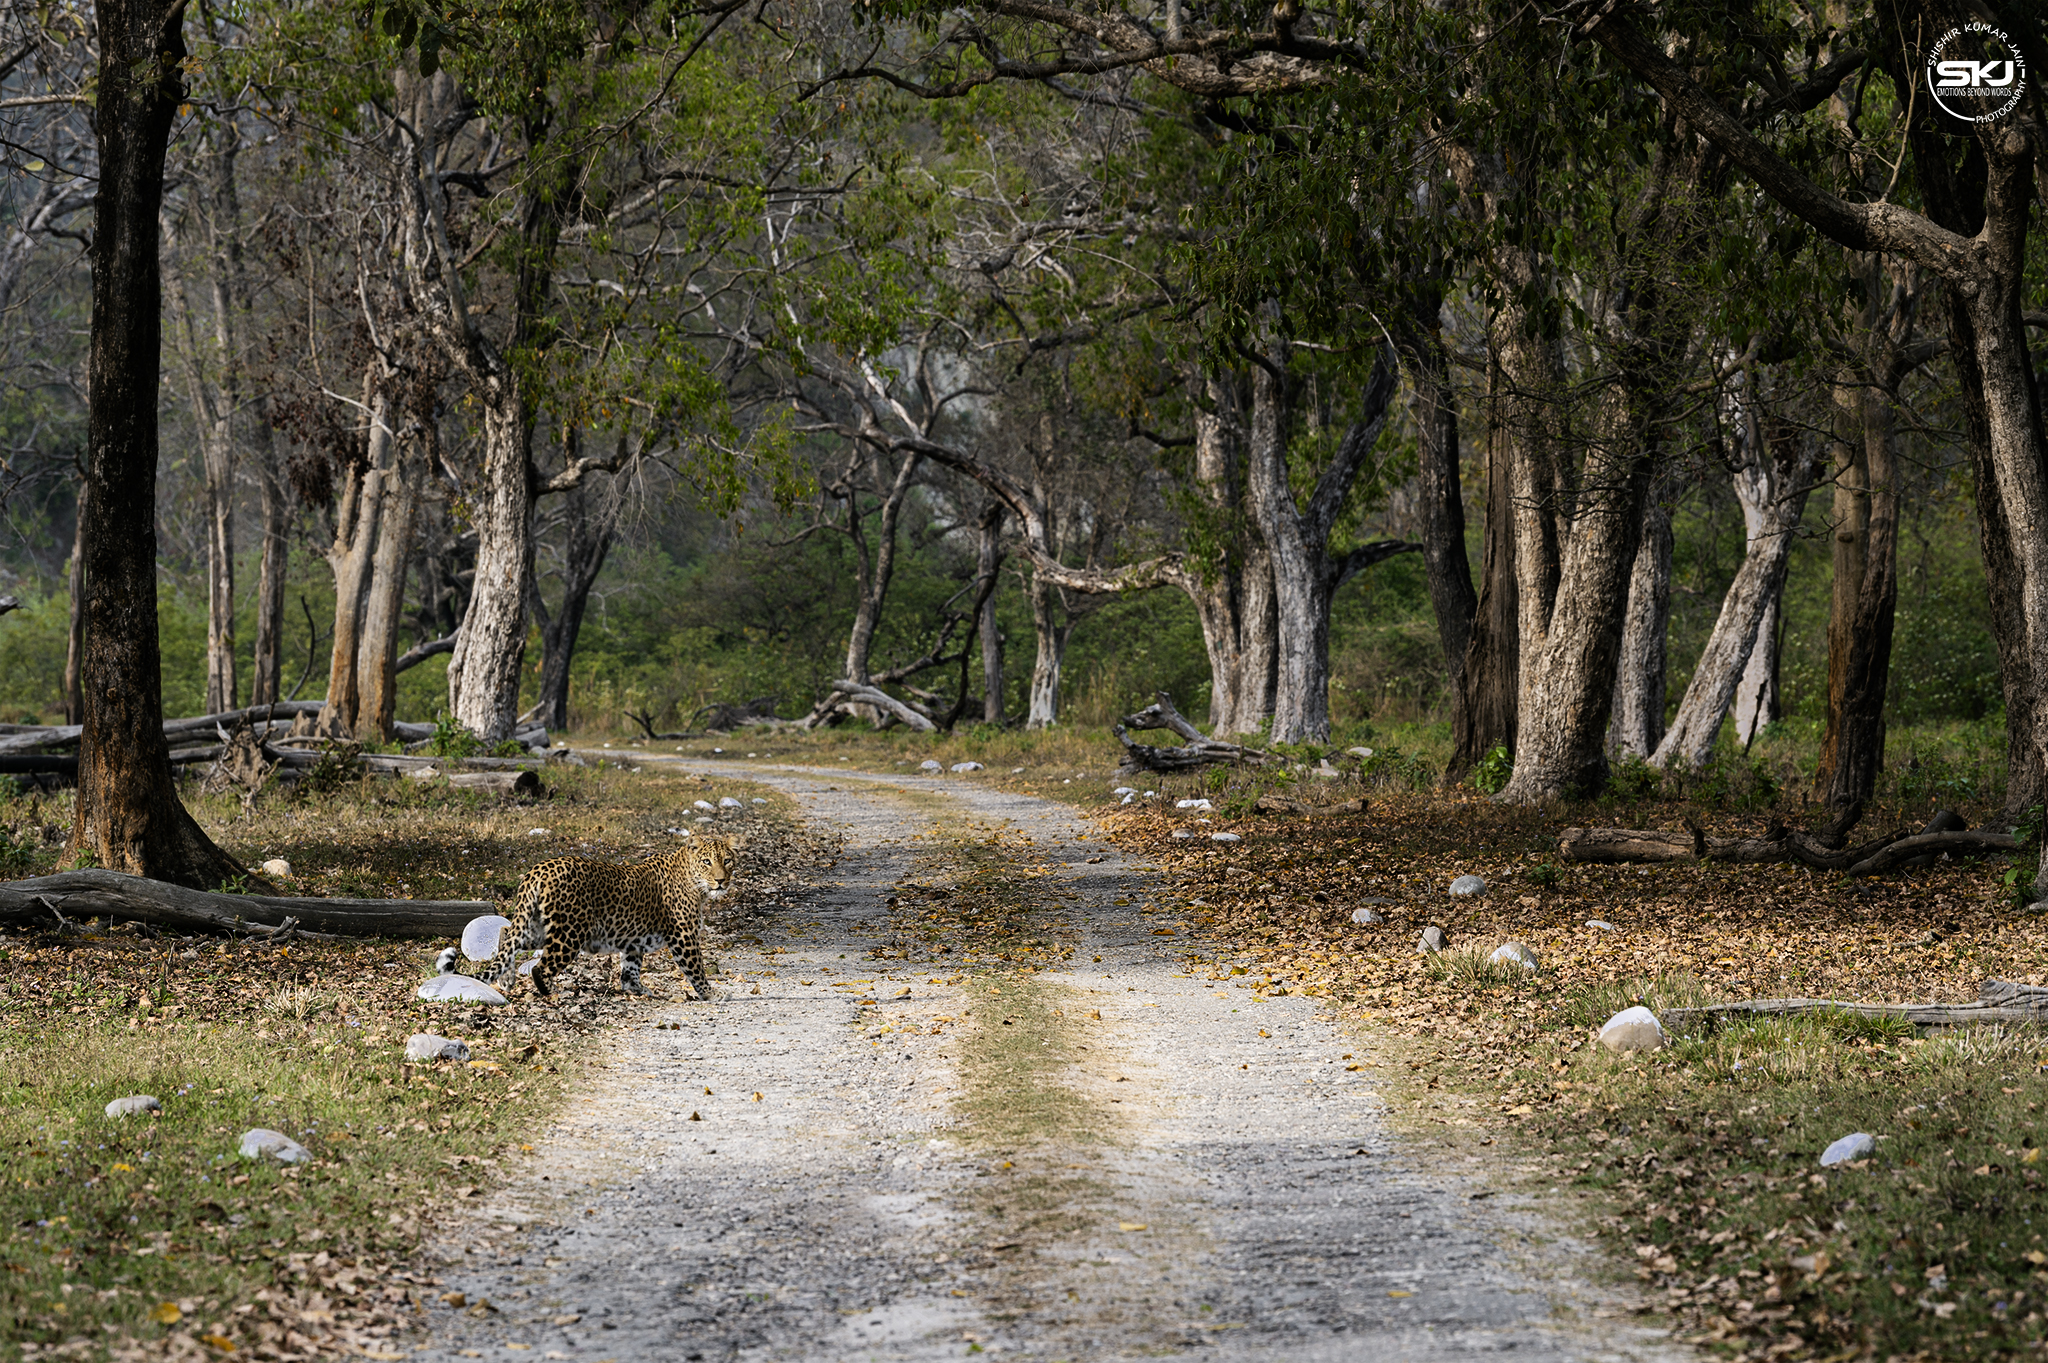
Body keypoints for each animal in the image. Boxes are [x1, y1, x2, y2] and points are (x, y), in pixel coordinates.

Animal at [436, 826, 741, 998]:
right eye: (706, 862)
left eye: (727, 861)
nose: (721, 881)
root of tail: (539, 869)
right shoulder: (684, 935)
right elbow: (695, 967)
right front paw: (710, 995)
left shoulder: (633, 942)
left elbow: (630, 968)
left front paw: (637, 990)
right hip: (570, 932)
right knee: (539, 967)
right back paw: (550, 994)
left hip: (537, 924)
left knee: (507, 932)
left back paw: (507, 979)